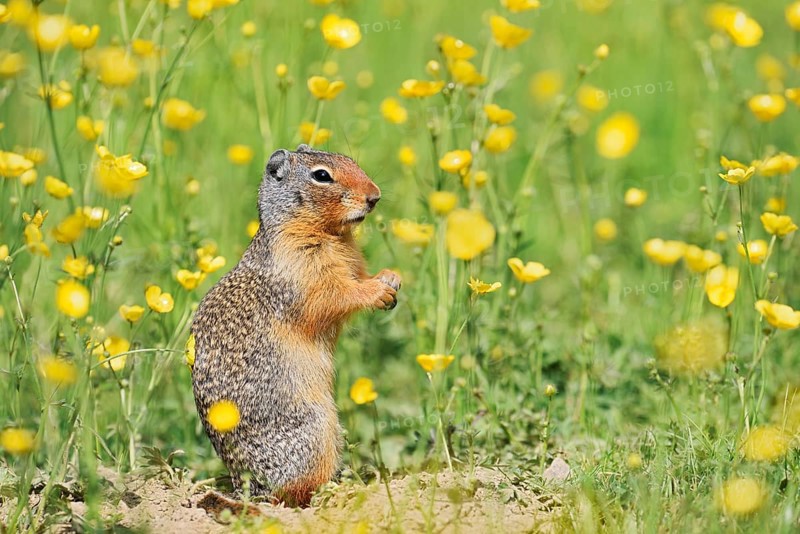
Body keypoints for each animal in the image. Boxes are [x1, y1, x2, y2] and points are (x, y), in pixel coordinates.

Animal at [190, 144, 400, 508]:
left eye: (350, 160)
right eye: (322, 175)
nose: (374, 196)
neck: (331, 234)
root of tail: (250, 490)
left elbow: (359, 277)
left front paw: (391, 277)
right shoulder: (304, 270)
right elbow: (336, 293)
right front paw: (378, 291)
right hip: (317, 429)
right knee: (294, 494)